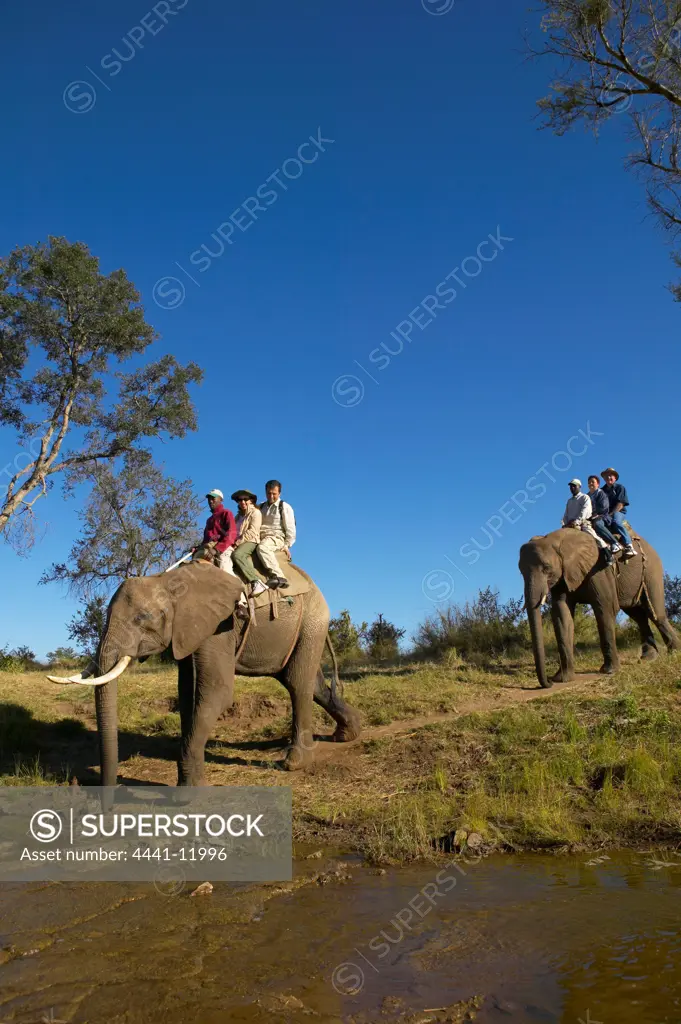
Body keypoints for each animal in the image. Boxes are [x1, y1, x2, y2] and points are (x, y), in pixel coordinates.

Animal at [47, 565, 360, 786]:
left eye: (142, 619)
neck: (168, 580)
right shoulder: (188, 631)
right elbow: (188, 695)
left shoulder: (219, 625)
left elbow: (215, 693)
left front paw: (187, 793)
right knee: (310, 684)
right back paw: (347, 734)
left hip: (312, 620)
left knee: (297, 683)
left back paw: (295, 762)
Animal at [518, 528, 675, 688]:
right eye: (521, 571)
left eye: (547, 568)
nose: (548, 682)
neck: (557, 540)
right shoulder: (563, 576)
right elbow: (562, 616)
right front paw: (561, 679)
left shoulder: (599, 569)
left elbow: (605, 608)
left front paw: (609, 671)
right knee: (639, 616)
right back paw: (648, 658)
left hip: (651, 570)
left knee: (656, 614)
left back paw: (674, 653)